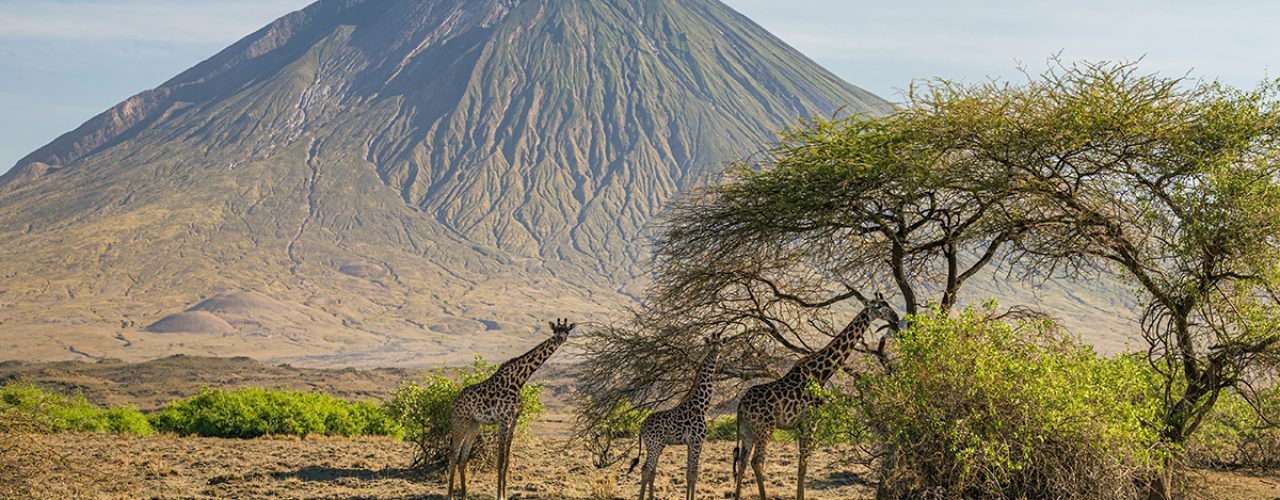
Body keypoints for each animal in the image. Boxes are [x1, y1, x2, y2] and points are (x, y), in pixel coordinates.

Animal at [447, 318, 575, 500]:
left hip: (474, 423)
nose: (561, 338)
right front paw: (498, 495)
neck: (519, 380)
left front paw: (505, 494)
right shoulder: (503, 419)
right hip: (460, 421)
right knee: (453, 455)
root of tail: (455, 403)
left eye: (567, 330)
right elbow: (500, 459)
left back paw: (464, 494)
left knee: (463, 457)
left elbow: (507, 459)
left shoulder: (514, 418)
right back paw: (450, 495)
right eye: (556, 330)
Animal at [629, 333, 725, 500]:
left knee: (650, 471)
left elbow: (688, 474)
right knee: (646, 469)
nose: (716, 349)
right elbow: (694, 474)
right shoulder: (697, 441)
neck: (702, 405)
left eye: (721, 343)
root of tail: (641, 428)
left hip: (657, 445)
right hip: (654, 444)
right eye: (711, 343)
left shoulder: (690, 443)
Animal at [732, 293, 899, 500]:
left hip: (747, 430)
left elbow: (801, 465)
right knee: (757, 461)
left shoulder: (801, 424)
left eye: (887, 303)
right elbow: (803, 466)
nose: (895, 317)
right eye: (877, 306)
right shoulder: (810, 421)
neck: (821, 373)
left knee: (742, 461)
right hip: (765, 427)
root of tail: (740, 407)